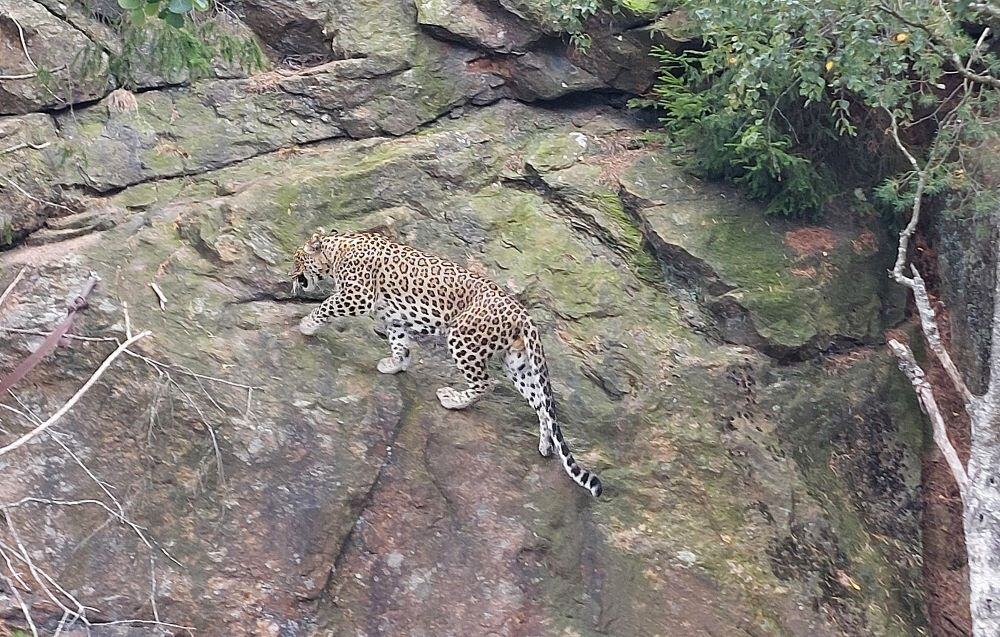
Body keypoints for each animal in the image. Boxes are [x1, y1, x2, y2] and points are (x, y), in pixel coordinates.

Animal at [290, 229, 603, 497]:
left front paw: (307, 324)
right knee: (540, 403)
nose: (291, 277)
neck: (337, 250)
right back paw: (545, 444)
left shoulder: (358, 296)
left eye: (297, 259)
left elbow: (326, 306)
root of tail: (523, 314)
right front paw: (395, 364)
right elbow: (399, 342)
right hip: (518, 363)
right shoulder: (395, 317)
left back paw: (453, 399)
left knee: (486, 383)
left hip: (463, 339)